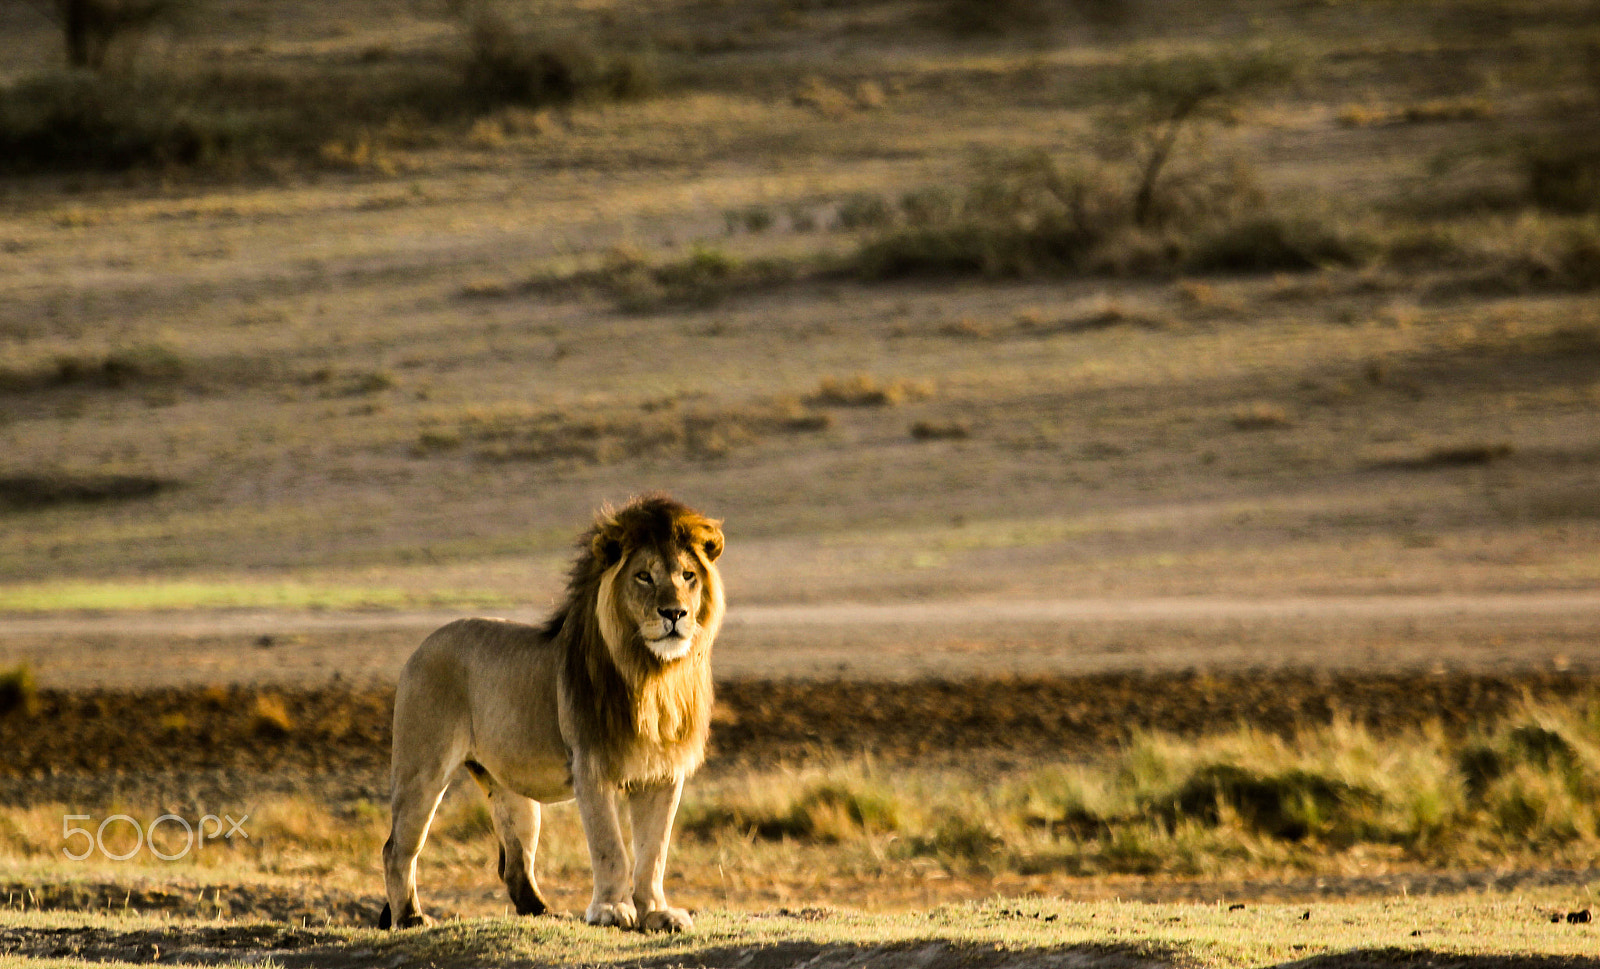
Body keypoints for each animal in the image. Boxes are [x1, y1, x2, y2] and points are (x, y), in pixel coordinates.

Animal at [379, 494, 724, 933]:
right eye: (644, 576)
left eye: (688, 575)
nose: (674, 613)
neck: (653, 674)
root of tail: (421, 646)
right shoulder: (590, 765)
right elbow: (611, 846)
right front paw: (611, 910)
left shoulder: (663, 772)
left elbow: (653, 853)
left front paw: (657, 913)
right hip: (421, 770)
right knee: (397, 848)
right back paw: (410, 917)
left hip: (512, 793)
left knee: (513, 864)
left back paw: (545, 912)